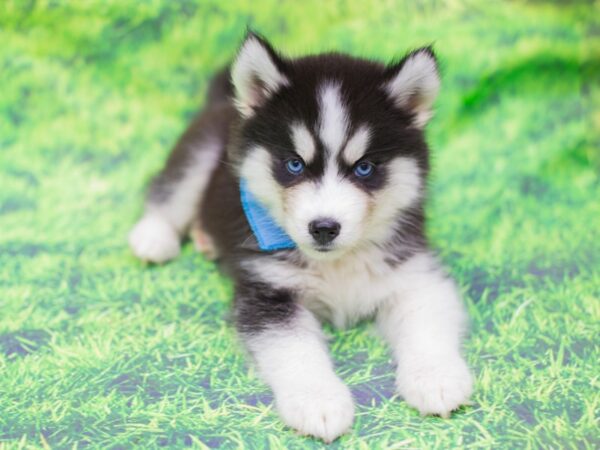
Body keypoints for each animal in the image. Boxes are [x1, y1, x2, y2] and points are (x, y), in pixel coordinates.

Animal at [130, 32, 474, 442]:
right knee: (169, 191)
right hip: (202, 152)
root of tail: (225, 104)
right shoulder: (268, 294)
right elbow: (295, 350)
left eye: (364, 168)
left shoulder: (416, 274)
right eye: (294, 164)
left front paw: (436, 378)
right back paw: (153, 238)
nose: (324, 227)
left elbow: (427, 324)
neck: (337, 263)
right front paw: (318, 401)